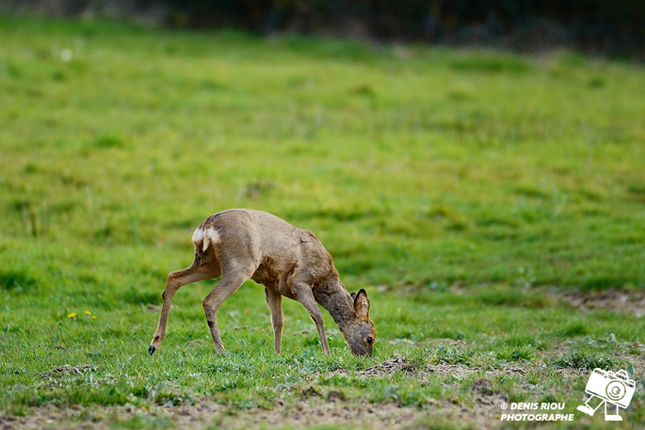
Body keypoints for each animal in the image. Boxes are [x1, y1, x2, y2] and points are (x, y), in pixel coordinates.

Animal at [148, 209, 376, 357]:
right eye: (370, 338)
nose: (364, 358)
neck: (325, 278)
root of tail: (206, 229)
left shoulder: (272, 286)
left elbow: (278, 321)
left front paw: (277, 353)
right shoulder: (299, 281)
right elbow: (317, 316)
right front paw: (327, 354)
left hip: (209, 263)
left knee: (173, 277)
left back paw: (154, 344)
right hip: (240, 264)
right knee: (209, 301)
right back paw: (221, 351)